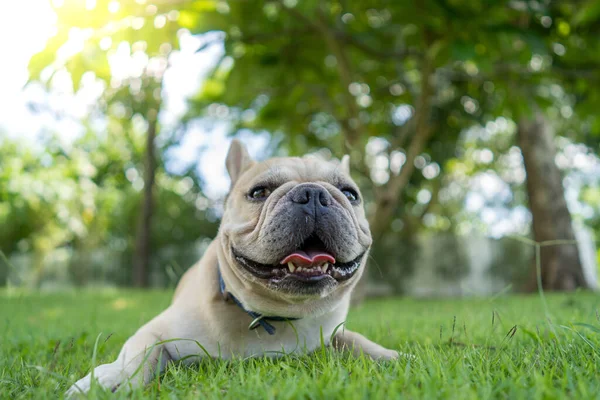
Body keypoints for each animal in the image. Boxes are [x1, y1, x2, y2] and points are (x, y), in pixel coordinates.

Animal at [65, 139, 398, 396]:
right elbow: (140, 352)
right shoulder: (157, 330)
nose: (314, 194)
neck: (271, 316)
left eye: (351, 194)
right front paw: (113, 378)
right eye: (259, 192)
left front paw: (396, 356)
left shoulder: (333, 333)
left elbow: (357, 341)